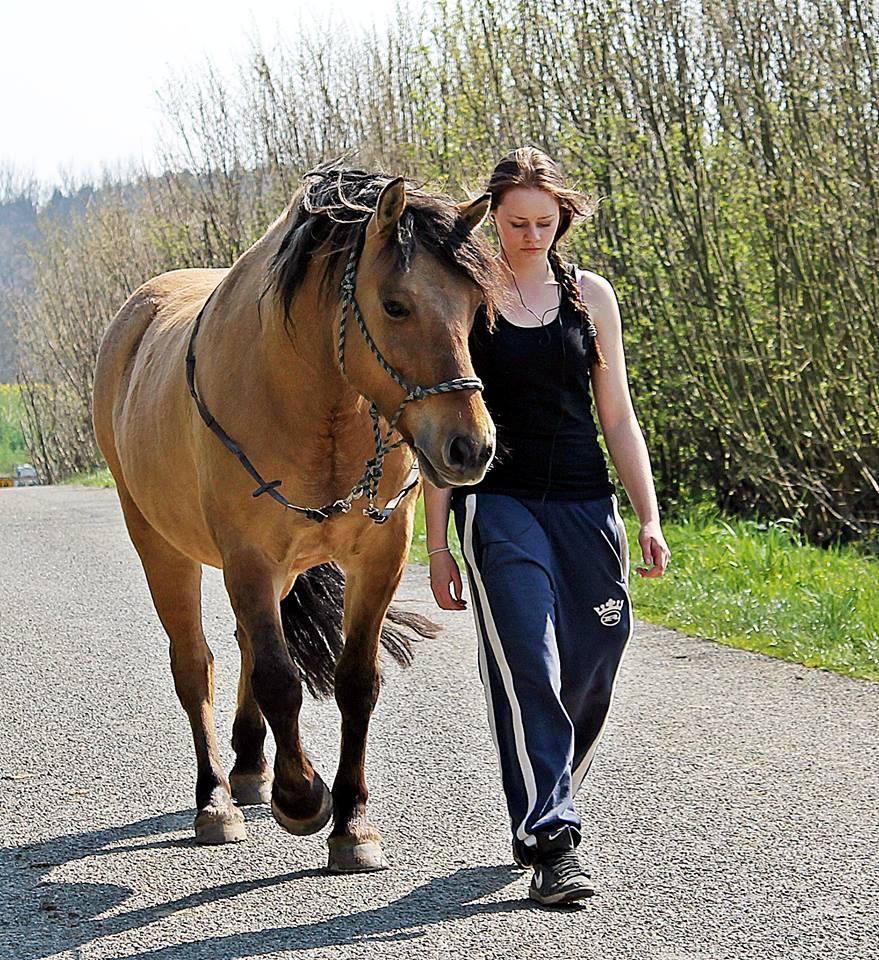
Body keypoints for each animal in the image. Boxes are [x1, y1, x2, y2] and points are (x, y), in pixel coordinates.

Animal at [93, 169, 502, 872]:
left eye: (475, 309)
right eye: (396, 305)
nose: (470, 447)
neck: (316, 405)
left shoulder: (377, 558)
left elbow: (355, 681)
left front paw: (353, 824)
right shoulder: (249, 560)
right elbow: (279, 679)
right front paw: (303, 797)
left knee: (245, 644)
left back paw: (251, 766)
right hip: (161, 546)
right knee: (195, 662)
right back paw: (217, 800)